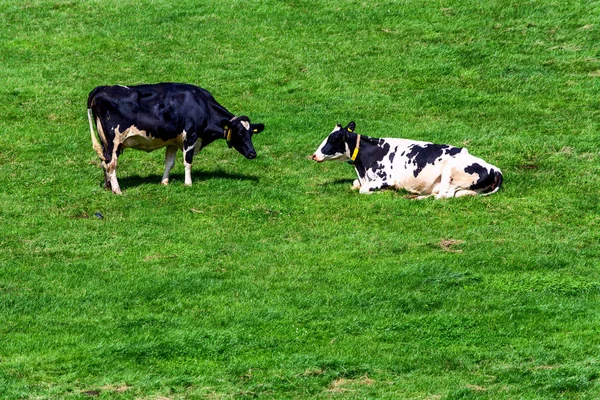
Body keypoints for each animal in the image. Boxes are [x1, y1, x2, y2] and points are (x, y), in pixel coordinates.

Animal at [85, 83, 264, 194]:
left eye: (251, 133)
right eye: (239, 133)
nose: (252, 153)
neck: (202, 105)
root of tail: (102, 88)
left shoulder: (172, 140)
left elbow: (169, 162)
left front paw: (164, 182)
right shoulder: (190, 136)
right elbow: (188, 162)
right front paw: (188, 183)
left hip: (105, 140)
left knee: (104, 161)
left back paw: (108, 186)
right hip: (114, 139)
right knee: (111, 163)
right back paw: (117, 190)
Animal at [312, 121, 504, 198]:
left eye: (333, 138)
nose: (314, 155)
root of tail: (495, 169)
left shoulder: (385, 178)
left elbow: (363, 190)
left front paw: (386, 192)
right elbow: (355, 185)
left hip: (449, 170)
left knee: (443, 196)